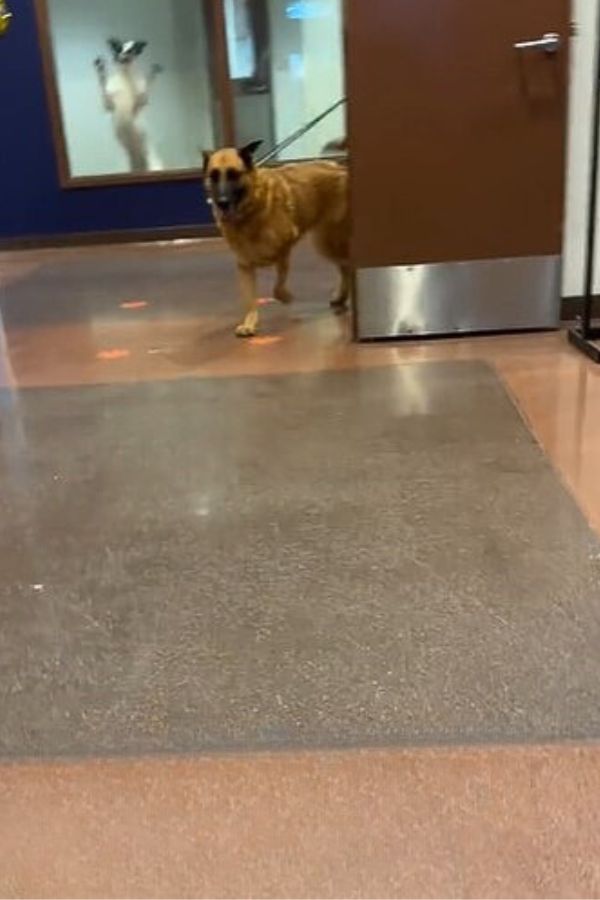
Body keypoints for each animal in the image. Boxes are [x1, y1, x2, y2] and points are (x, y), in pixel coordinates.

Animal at [203, 141, 350, 338]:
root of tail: (341, 168)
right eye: (213, 176)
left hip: (329, 242)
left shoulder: (284, 251)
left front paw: (286, 297)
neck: (251, 210)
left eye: (234, 174)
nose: (222, 202)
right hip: (326, 243)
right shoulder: (244, 266)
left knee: (348, 265)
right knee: (344, 268)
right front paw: (249, 324)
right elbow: (250, 300)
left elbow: (277, 289)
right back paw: (341, 297)